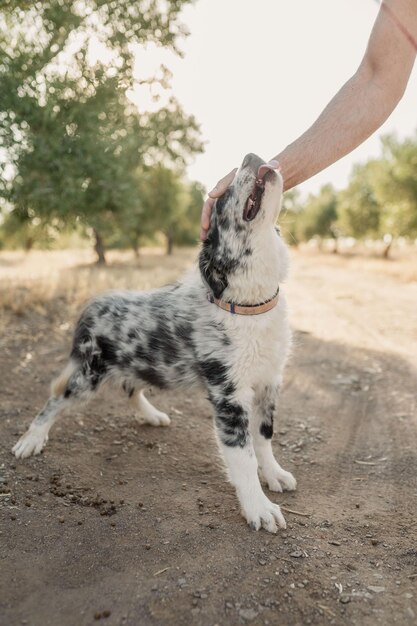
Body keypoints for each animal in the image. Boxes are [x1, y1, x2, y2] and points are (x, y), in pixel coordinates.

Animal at [13, 151, 296, 532]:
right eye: (222, 199)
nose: (250, 156)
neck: (251, 306)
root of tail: (93, 303)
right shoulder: (228, 395)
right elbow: (243, 456)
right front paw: (258, 507)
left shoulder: (269, 382)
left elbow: (264, 437)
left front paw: (274, 474)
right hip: (88, 375)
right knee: (55, 400)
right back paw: (31, 439)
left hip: (140, 363)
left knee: (129, 387)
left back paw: (151, 415)